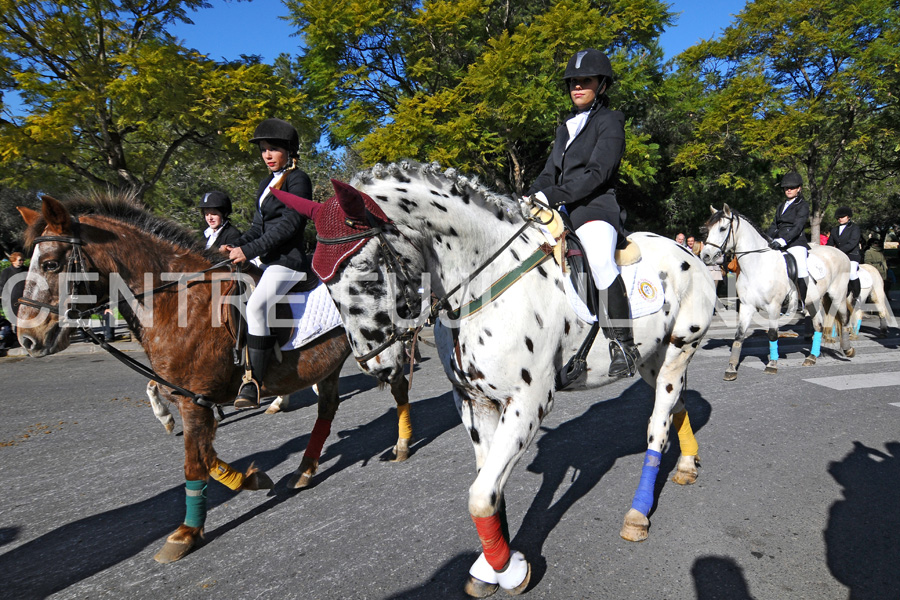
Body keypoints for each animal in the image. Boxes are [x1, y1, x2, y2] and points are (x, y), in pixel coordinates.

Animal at [14, 192, 414, 564]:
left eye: (50, 264)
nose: (27, 338)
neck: (178, 302)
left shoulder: (194, 401)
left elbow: (195, 463)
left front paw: (186, 533)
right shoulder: (191, 397)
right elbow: (205, 454)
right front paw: (250, 479)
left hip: (384, 349)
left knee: (399, 388)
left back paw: (402, 445)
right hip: (330, 364)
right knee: (327, 409)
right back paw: (304, 469)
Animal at [276, 161, 716, 596]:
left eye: (366, 270)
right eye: (321, 281)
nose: (375, 364)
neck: (484, 282)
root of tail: (689, 254)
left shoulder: (529, 401)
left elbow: (480, 496)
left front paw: (509, 571)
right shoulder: (472, 401)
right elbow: (490, 486)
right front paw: (491, 568)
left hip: (677, 351)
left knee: (657, 426)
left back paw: (638, 514)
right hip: (652, 361)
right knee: (677, 406)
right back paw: (687, 464)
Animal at [700, 204, 856, 378]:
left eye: (722, 228)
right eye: (708, 229)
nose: (705, 256)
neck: (757, 265)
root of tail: (840, 253)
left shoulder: (774, 306)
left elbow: (773, 334)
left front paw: (772, 364)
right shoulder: (747, 306)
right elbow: (739, 334)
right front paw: (731, 367)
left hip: (837, 296)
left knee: (844, 318)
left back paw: (848, 350)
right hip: (812, 301)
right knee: (819, 325)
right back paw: (811, 357)